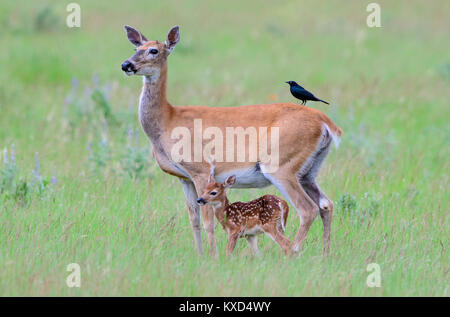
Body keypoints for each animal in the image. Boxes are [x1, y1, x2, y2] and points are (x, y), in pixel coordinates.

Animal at [121, 25, 342, 256]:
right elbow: (194, 220)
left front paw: (212, 256)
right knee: (326, 204)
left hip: (281, 165)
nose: (126, 65)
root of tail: (326, 123)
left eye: (153, 50)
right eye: (136, 47)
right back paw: (325, 254)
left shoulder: (201, 170)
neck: (168, 119)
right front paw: (199, 255)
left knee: (308, 209)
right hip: (309, 171)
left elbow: (208, 221)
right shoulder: (184, 178)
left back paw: (294, 251)